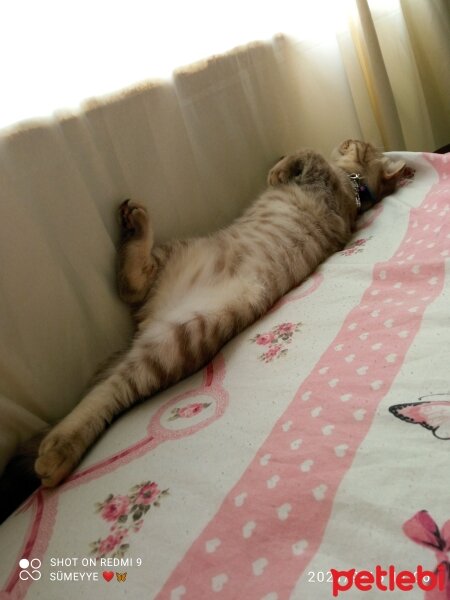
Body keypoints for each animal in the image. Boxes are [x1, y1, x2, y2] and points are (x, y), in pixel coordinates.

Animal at [31, 141, 404, 488]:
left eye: (359, 144)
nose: (346, 140)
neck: (353, 188)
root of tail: (151, 317)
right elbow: (304, 154)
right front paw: (280, 166)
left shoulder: (321, 178)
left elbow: (305, 153)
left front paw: (278, 169)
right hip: (173, 263)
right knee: (132, 286)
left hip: (179, 339)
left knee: (113, 385)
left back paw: (58, 451)